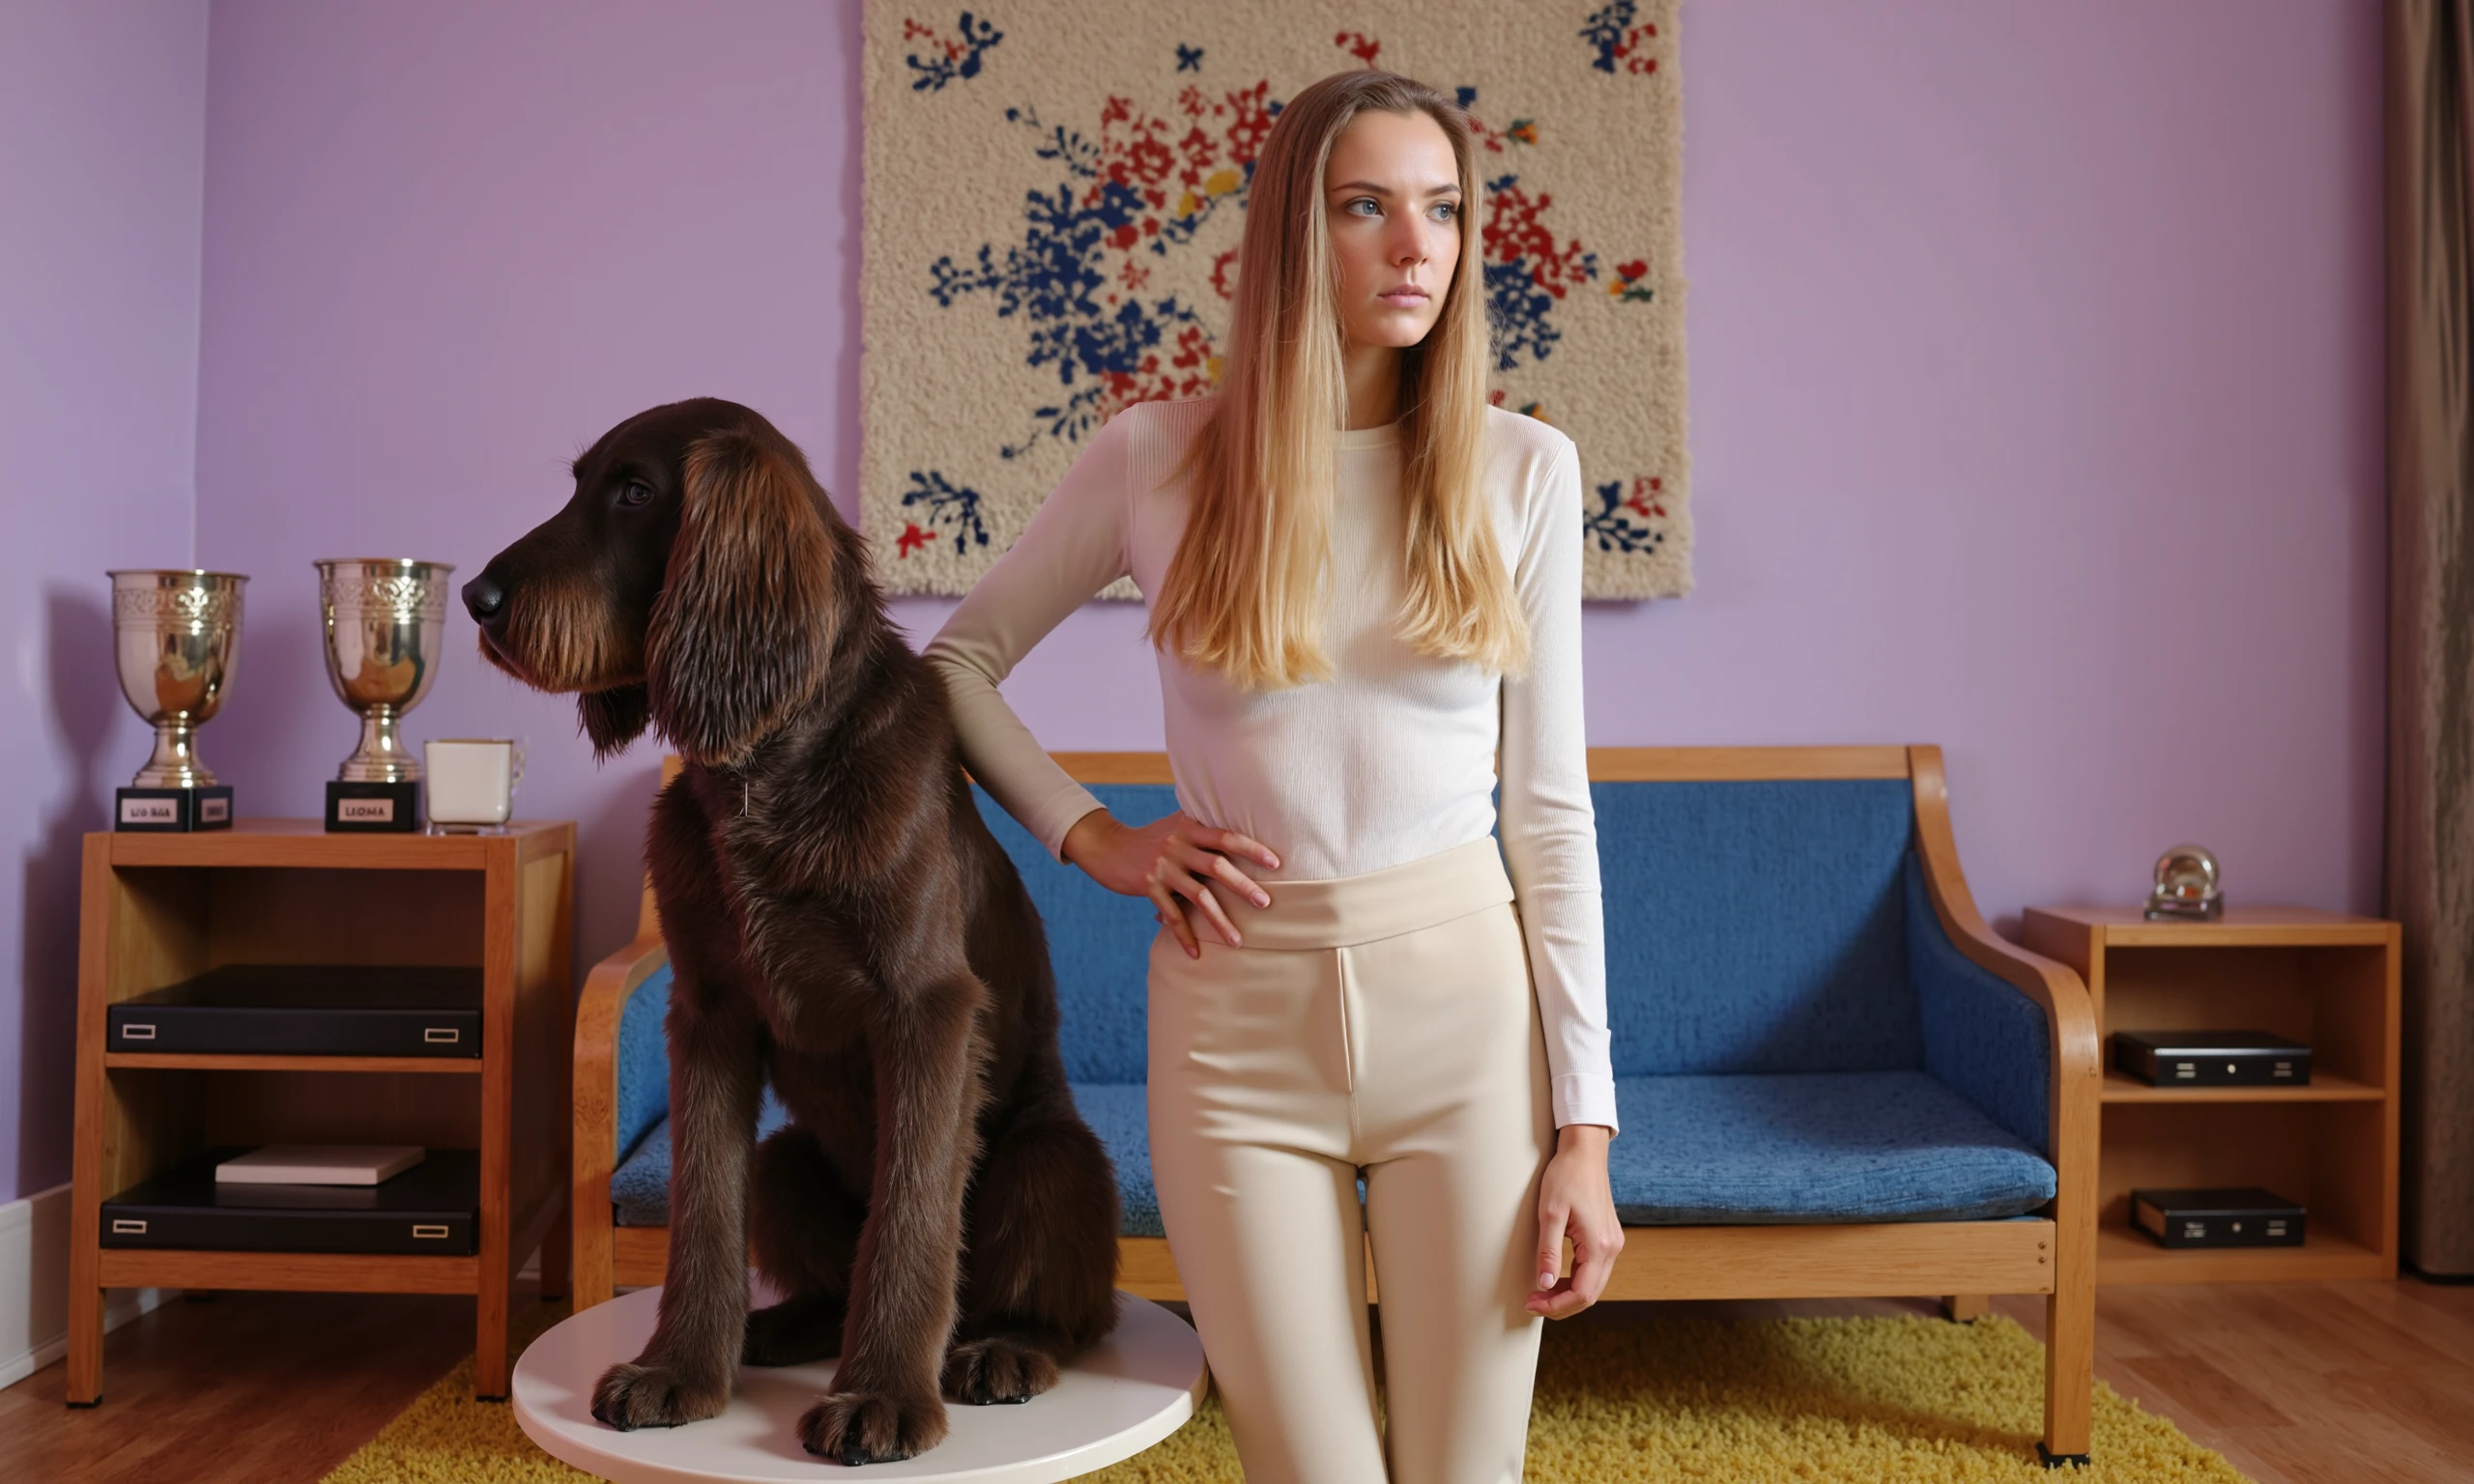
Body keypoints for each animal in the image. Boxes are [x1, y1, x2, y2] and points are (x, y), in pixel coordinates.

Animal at [465, 393, 1123, 1464]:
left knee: (1067, 1311)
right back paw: (774, 1328)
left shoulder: (927, 1011)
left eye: (634, 492)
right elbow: (703, 1206)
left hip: (1049, 1158)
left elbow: (910, 1219)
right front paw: (681, 1370)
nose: (476, 597)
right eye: (579, 485)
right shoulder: (708, 1014)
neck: (764, 771)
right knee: (809, 1255)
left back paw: (999, 1350)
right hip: (790, 1161)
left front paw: (883, 1394)